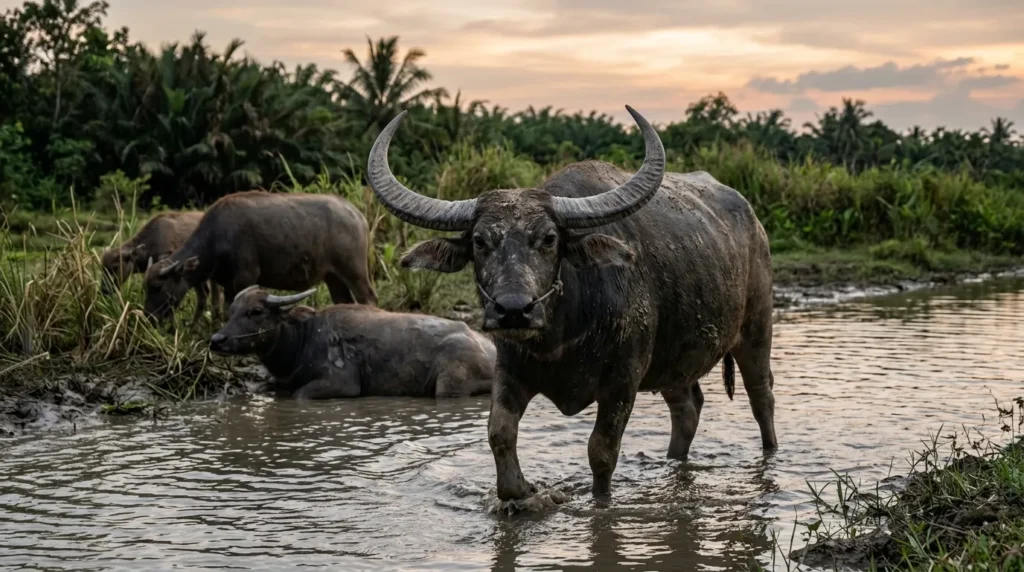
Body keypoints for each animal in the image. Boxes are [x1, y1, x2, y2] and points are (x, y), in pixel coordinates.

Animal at [144, 191, 377, 323]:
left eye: (158, 287)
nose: (149, 318)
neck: (217, 237)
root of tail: (358, 215)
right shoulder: (226, 282)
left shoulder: (245, 276)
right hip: (333, 276)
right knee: (343, 300)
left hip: (354, 271)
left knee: (368, 298)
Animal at [209, 286, 496, 399]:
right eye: (232, 310)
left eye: (255, 311)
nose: (217, 340)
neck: (304, 339)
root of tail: (490, 349)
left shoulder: (342, 384)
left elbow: (300, 395)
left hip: (450, 385)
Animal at [365, 106, 777, 504]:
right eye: (480, 241)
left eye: (549, 238)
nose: (513, 310)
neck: (563, 334)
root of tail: (753, 222)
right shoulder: (510, 370)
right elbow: (499, 434)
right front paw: (525, 494)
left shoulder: (623, 380)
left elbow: (601, 452)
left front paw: (598, 502)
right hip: (674, 360)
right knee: (687, 408)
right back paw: (674, 462)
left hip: (756, 330)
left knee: (762, 397)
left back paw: (770, 457)